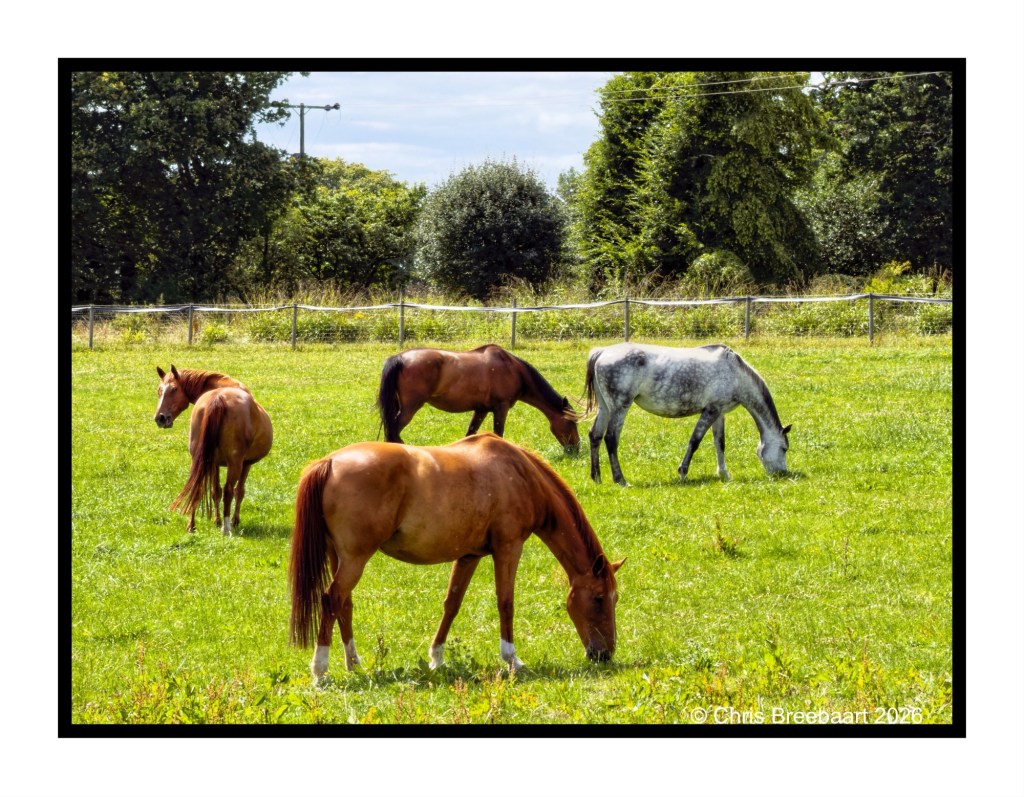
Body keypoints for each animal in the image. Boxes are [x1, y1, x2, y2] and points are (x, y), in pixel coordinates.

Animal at [154, 366, 273, 535]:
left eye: (174, 389)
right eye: (159, 391)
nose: (160, 418)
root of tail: (218, 398)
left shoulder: (214, 462)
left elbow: (215, 491)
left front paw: (216, 520)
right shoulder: (246, 464)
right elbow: (239, 491)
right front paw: (234, 520)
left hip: (198, 459)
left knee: (197, 488)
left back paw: (192, 526)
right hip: (235, 463)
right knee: (229, 490)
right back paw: (227, 527)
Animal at [289, 432, 623, 679]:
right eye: (599, 598)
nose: (604, 654)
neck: (520, 473)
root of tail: (330, 461)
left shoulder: (469, 555)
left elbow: (452, 603)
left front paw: (436, 658)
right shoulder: (509, 547)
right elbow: (506, 603)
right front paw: (512, 659)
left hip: (339, 557)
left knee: (343, 604)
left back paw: (354, 664)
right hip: (355, 559)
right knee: (331, 599)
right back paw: (320, 670)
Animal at [376, 344, 581, 452]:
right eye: (572, 423)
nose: (576, 448)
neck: (513, 369)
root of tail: (400, 358)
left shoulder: (481, 410)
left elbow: (471, 433)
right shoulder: (501, 407)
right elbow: (498, 433)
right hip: (410, 408)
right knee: (393, 431)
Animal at [584, 343, 791, 486]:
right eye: (784, 448)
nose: (782, 473)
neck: (735, 373)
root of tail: (602, 352)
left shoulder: (719, 413)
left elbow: (720, 443)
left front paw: (724, 474)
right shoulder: (711, 411)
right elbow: (695, 441)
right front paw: (683, 472)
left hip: (605, 408)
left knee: (595, 436)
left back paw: (597, 477)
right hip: (620, 407)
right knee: (611, 439)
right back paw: (620, 480)